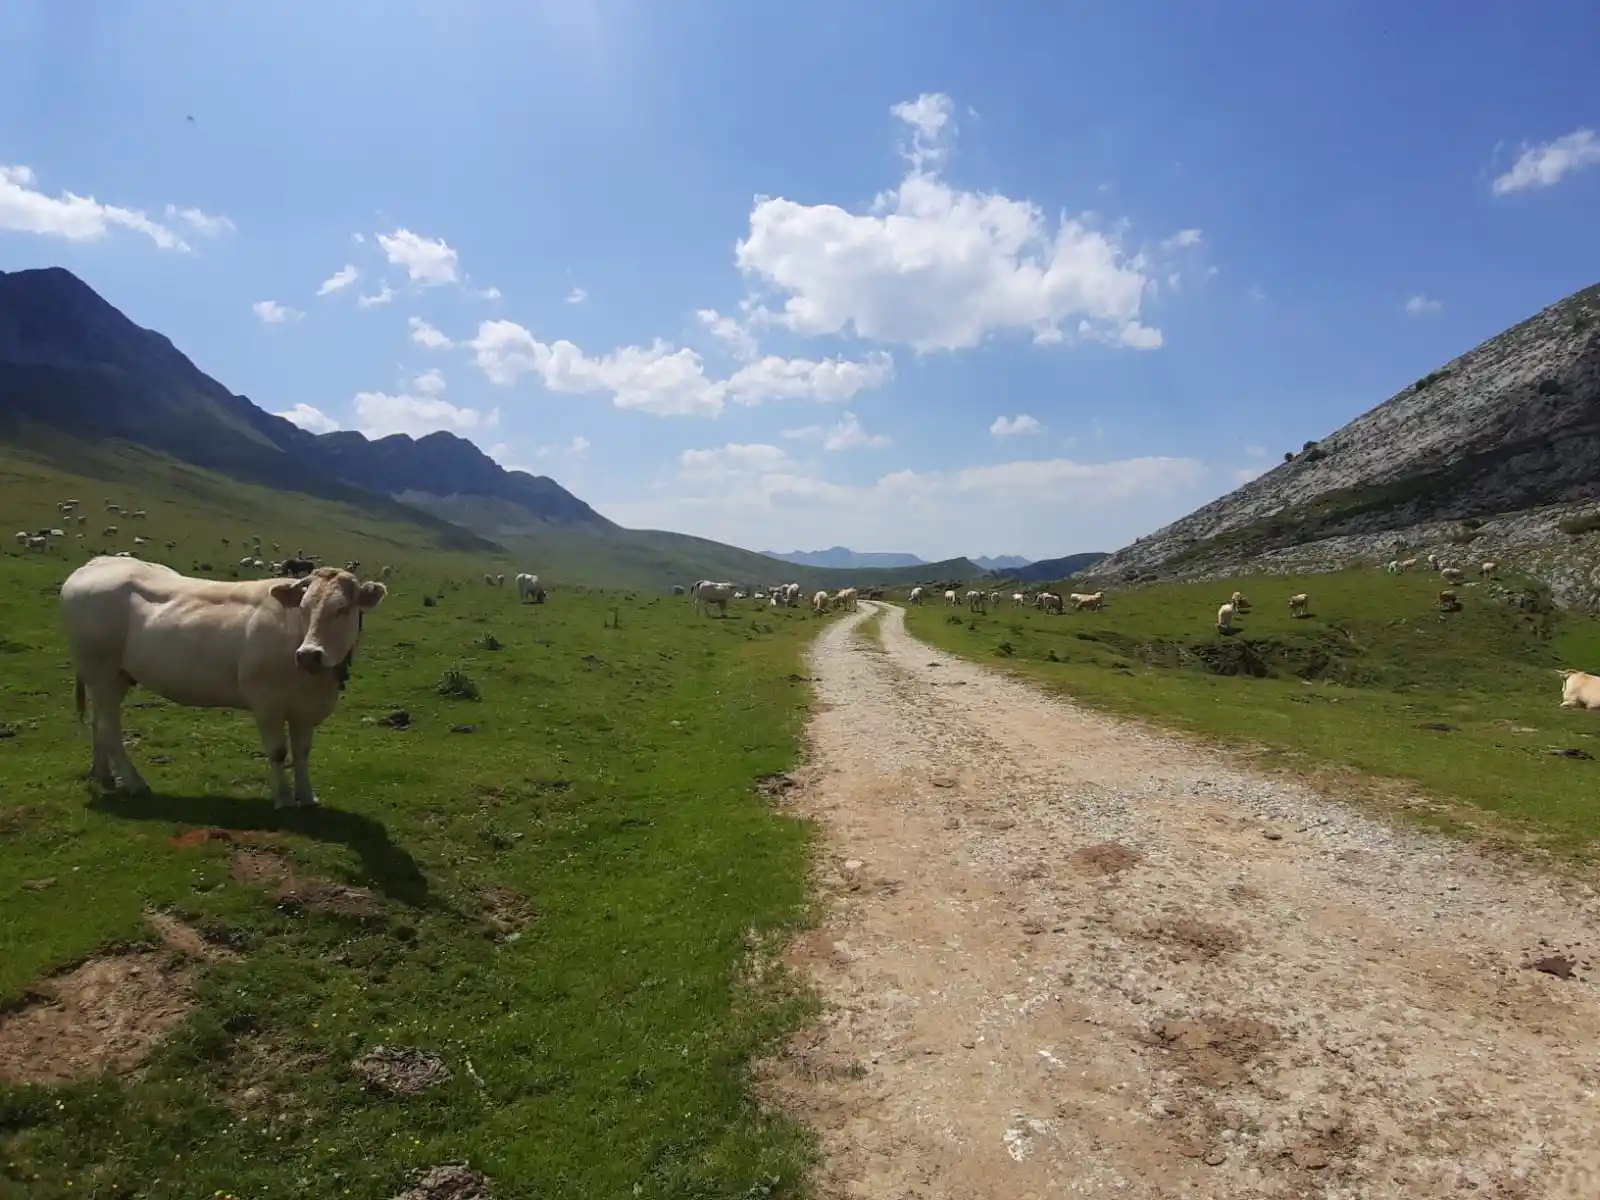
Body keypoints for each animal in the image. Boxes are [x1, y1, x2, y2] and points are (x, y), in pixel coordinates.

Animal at [59, 558, 386, 806]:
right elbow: (279, 752)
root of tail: (96, 563)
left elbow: (302, 752)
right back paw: (135, 783)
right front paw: (283, 799)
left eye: (342, 609)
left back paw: (103, 774)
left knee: (99, 721)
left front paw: (307, 797)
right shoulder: (266, 704)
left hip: (115, 676)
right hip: (100, 669)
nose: (308, 655)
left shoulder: (305, 710)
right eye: (304, 608)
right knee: (109, 728)